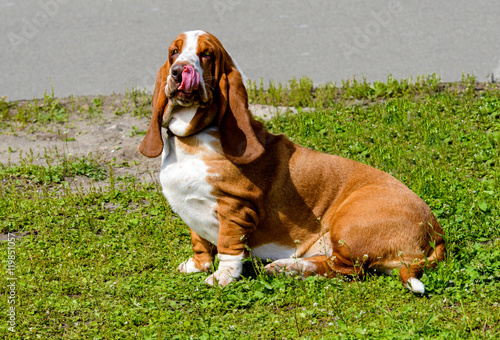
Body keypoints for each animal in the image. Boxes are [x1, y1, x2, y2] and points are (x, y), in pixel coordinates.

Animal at [138, 30, 446, 294]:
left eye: (206, 54)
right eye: (174, 52)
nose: (180, 71)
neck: (192, 137)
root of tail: (436, 232)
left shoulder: (236, 209)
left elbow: (228, 247)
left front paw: (221, 278)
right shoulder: (191, 212)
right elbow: (200, 243)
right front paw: (197, 266)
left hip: (347, 224)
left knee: (349, 270)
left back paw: (289, 269)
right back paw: (286, 268)